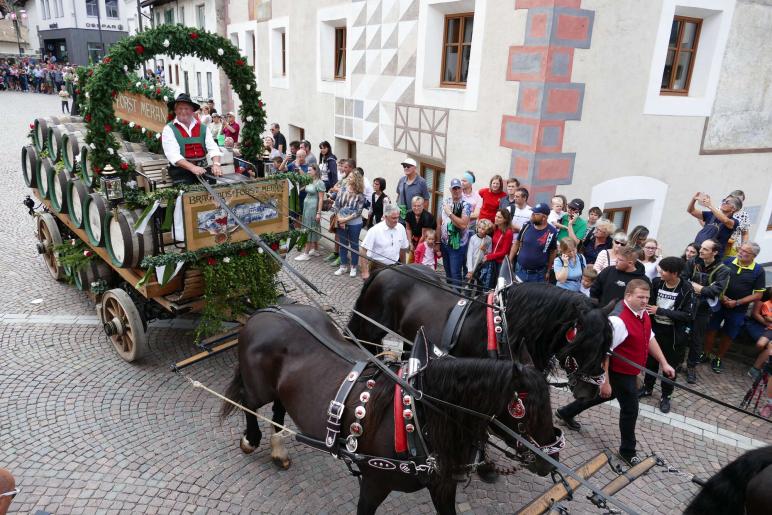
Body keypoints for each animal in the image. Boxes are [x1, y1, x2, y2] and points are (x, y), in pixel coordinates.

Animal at [223, 308, 560, 512]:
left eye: (549, 403)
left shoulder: (442, 485)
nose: (552, 458)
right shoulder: (374, 484)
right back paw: (251, 439)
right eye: (523, 409)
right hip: (258, 387)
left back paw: (278, 447)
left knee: (279, 407)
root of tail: (267, 312)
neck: (419, 417)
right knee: (248, 403)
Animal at [346, 264, 612, 402]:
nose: (591, 392)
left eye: (607, 347)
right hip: (370, 328)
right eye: (583, 342)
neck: (504, 331)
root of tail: (386, 269)